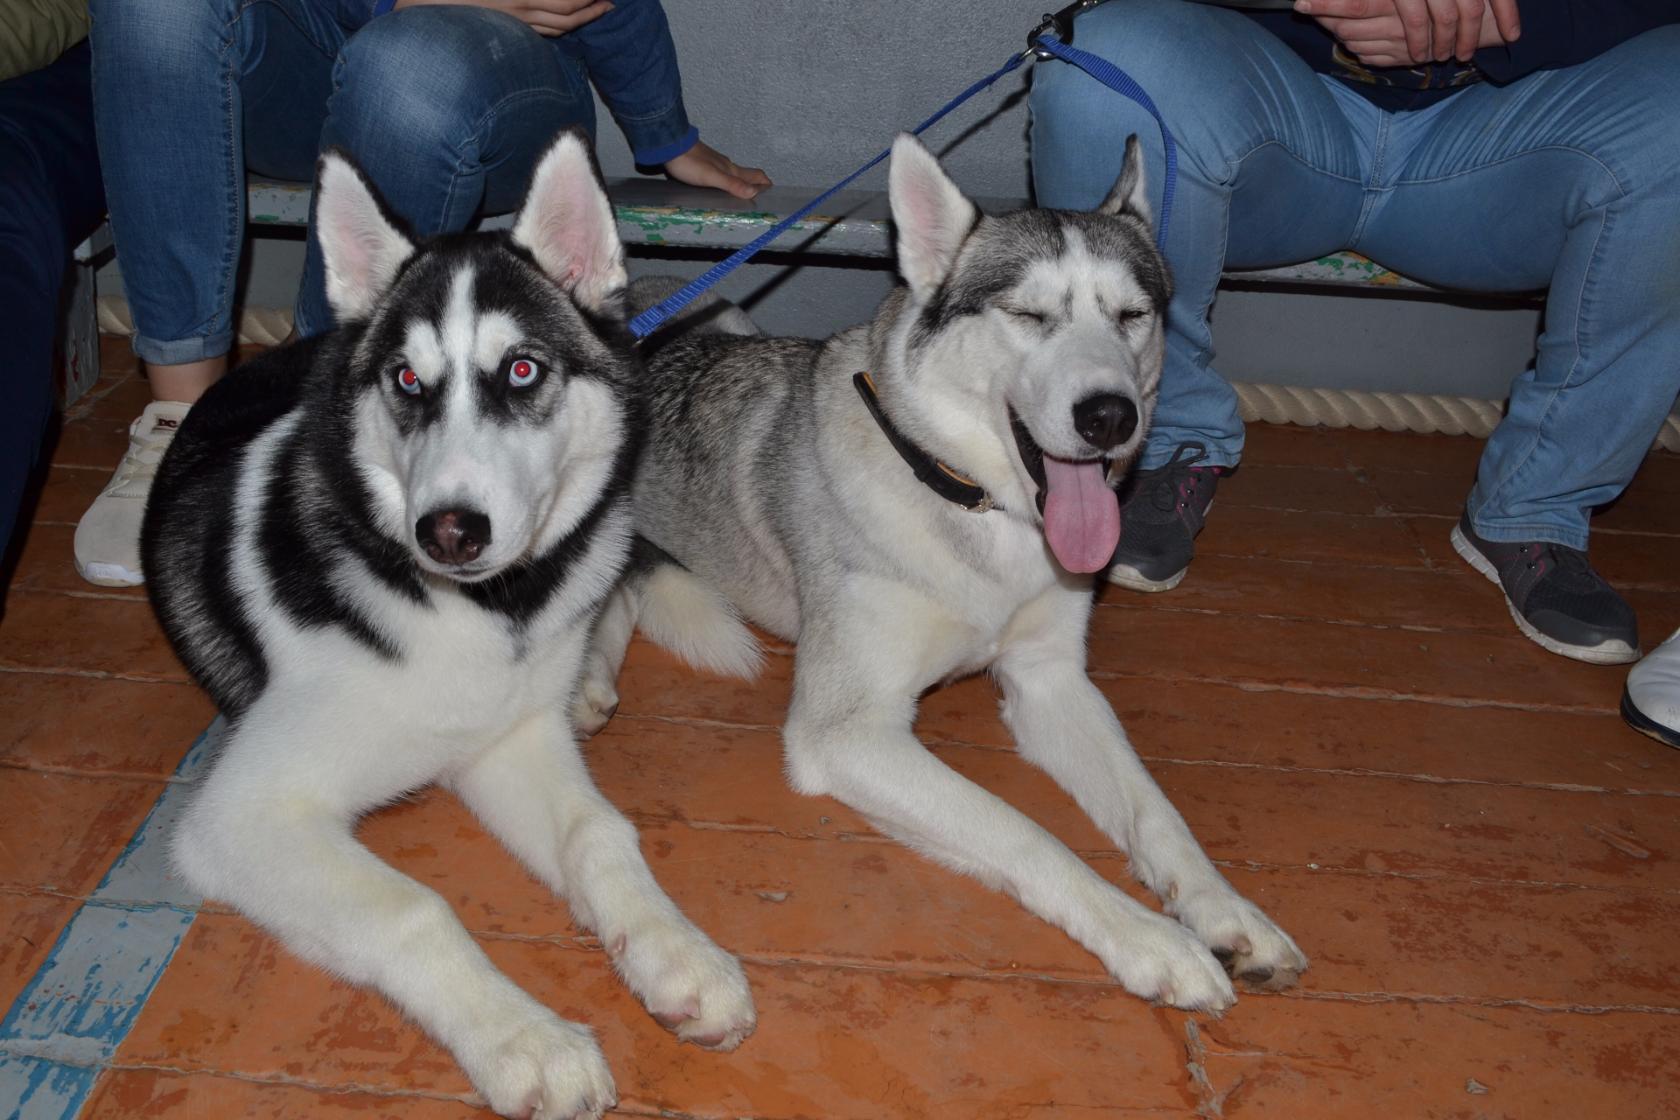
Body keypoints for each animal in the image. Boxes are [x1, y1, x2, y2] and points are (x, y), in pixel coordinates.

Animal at [142, 132, 755, 1120]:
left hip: (611, 520)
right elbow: (413, 908)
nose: (450, 531)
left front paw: (679, 955)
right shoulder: (243, 815)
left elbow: (600, 834)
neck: (479, 610)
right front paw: (526, 1040)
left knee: (613, 581)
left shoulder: (509, 740)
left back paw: (585, 673)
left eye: (522, 369)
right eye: (405, 379)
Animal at [581, 134, 1307, 1012]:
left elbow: (1156, 811)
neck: (973, 505)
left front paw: (1227, 913)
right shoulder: (848, 733)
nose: (1110, 416)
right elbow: (1026, 832)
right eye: (1028, 315)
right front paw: (1151, 940)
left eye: (1132, 317)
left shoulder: (1050, 680)